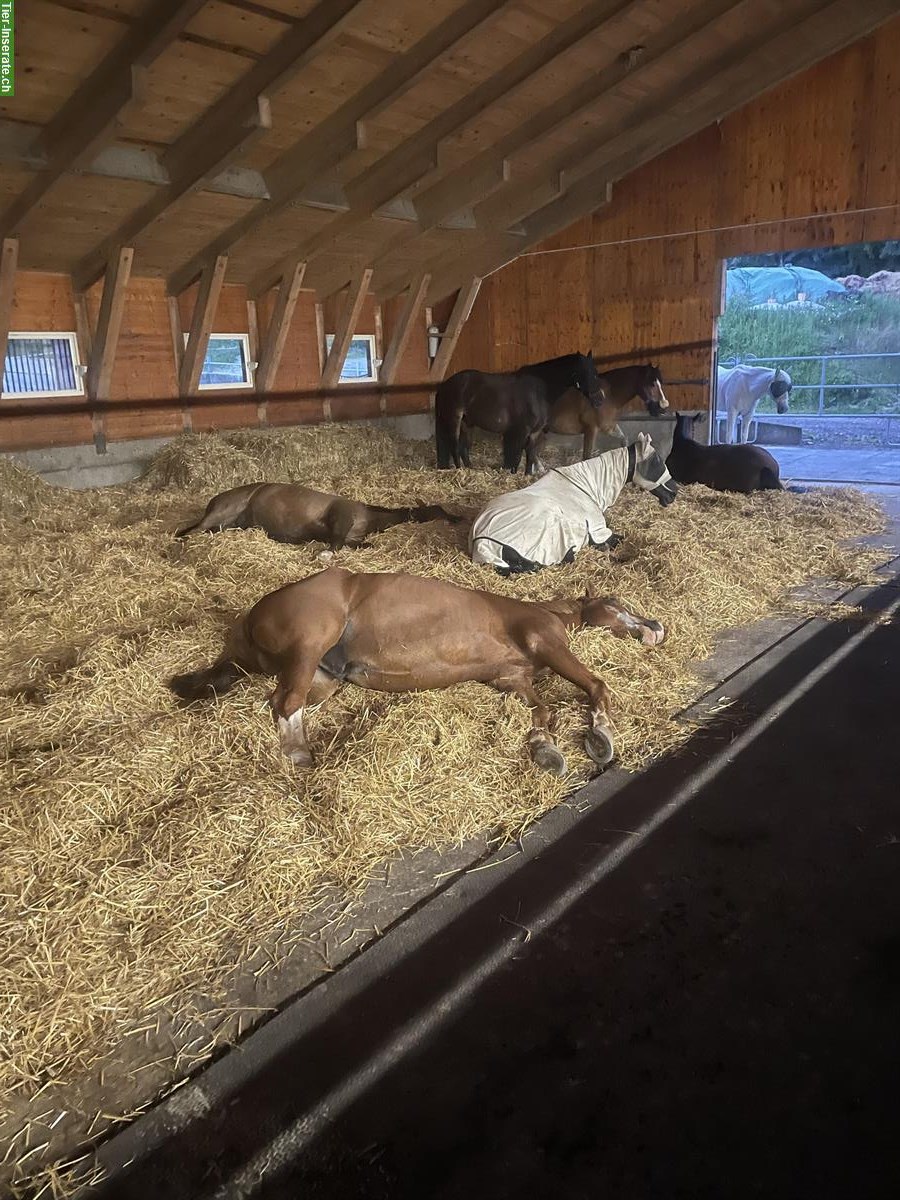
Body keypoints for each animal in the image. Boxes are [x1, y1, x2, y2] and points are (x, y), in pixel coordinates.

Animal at [169, 568, 667, 777]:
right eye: (616, 602)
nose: (656, 628)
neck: (538, 612)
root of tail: (250, 619)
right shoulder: (547, 643)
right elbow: (597, 687)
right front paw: (601, 736)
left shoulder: (512, 679)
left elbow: (542, 713)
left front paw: (545, 750)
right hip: (311, 644)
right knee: (282, 703)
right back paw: (301, 761)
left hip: (322, 678)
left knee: (280, 701)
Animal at [436, 350, 607, 475]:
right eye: (585, 372)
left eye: (596, 372)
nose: (600, 400)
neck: (538, 391)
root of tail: (444, 385)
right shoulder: (520, 431)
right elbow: (516, 458)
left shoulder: (534, 432)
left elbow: (530, 455)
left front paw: (527, 475)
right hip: (454, 419)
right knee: (454, 446)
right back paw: (460, 471)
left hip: (467, 423)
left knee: (463, 448)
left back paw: (470, 469)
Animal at [472, 436, 676, 576]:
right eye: (656, 461)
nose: (674, 493)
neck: (588, 486)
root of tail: (482, 542)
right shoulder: (600, 532)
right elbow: (619, 539)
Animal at [542, 362, 672, 460]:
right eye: (652, 385)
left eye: (660, 383)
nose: (663, 407)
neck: (607, 396)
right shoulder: (591, 430)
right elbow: (586, 457)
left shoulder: (608, 427)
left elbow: (624, 439)